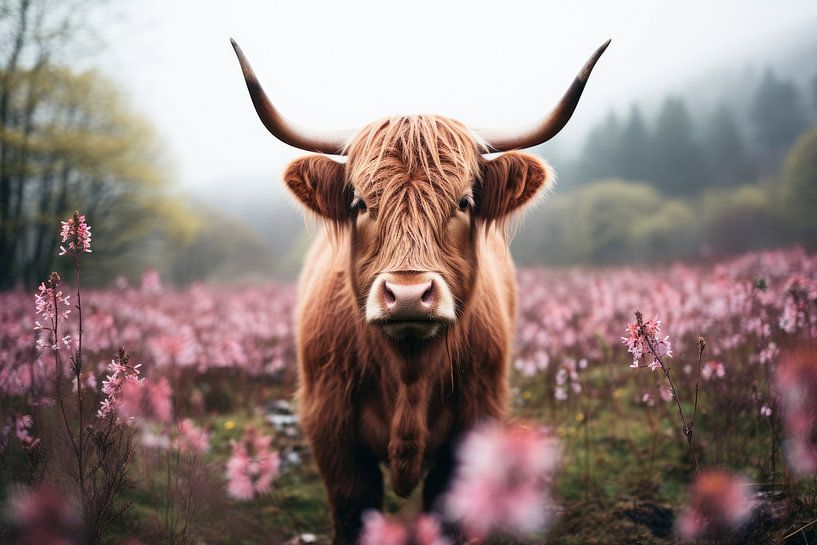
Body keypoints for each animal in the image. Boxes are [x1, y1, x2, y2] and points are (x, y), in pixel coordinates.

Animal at [231, 38, 609, 545]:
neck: (408, 373)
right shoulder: (330, 427)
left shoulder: (475, 421)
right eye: (359, 202)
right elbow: (353, 509)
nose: (408, 294)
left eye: (465, 201)